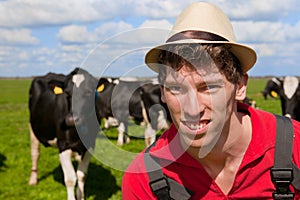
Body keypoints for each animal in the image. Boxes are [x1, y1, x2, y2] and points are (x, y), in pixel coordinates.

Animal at [28, 67, 99, 200]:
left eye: (88, 92)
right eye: (67, 94)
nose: (71, 119)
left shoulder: (90, 145)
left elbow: (81, 175)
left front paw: (80, 196)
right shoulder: (63, 145)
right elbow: (70, 178)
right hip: (32, 127)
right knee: (35, 153)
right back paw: (33, 179)